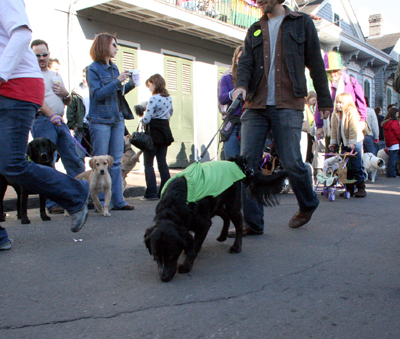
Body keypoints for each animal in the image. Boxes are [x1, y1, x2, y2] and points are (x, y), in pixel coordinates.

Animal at [144, 156, 288, 282]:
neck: (173, 206)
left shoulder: (203, 224)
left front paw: (186, 265)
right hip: (216, 202)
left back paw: (236, 246)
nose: (164, 278)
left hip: (231, 204)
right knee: (225, 217)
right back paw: (223, 236)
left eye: (172, 256)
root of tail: (234, 161)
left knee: (238, 223)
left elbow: (194, 246)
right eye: (155, 256)